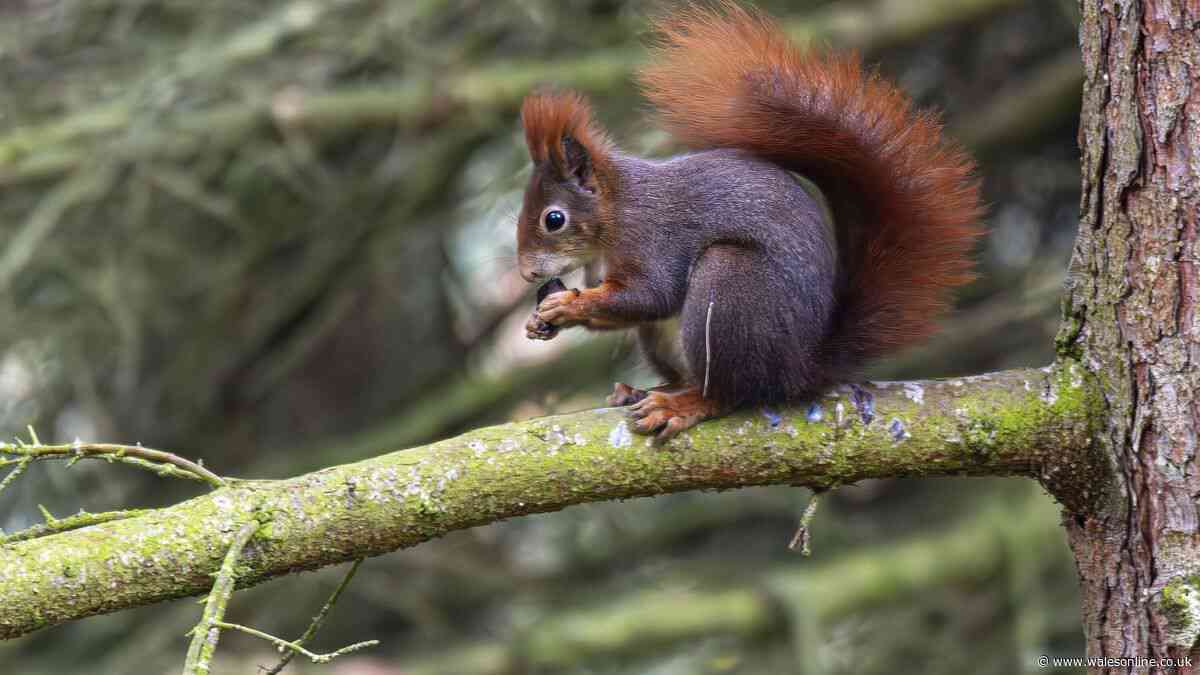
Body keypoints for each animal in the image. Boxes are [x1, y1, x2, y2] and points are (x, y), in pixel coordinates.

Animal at [516, 1, 983, 442]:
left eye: (554, 219)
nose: (526, 274)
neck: (613, 218)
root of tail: (801, 368)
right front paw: (541, 320)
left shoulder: (653, 238)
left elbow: (651, 295)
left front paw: (567, 304)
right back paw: (644, 391)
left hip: (730, 286)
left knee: (731, 393)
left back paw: (680, 404)